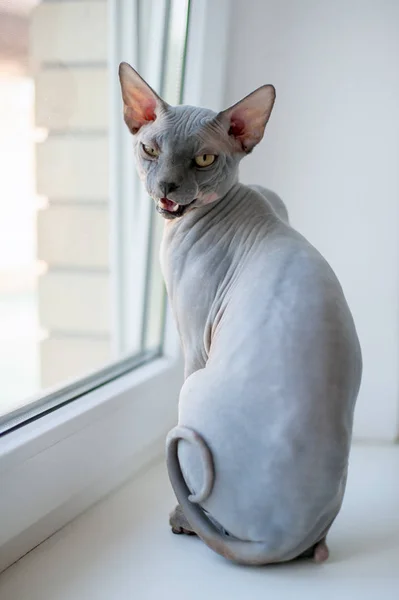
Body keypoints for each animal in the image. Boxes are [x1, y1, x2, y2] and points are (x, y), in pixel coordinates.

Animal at [119, 63, 362, 564]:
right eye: (151, 150)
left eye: (204, 160)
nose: (166, 187)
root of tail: (279, 543)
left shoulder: (194, 340)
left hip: (193, 389)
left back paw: (186, 521)